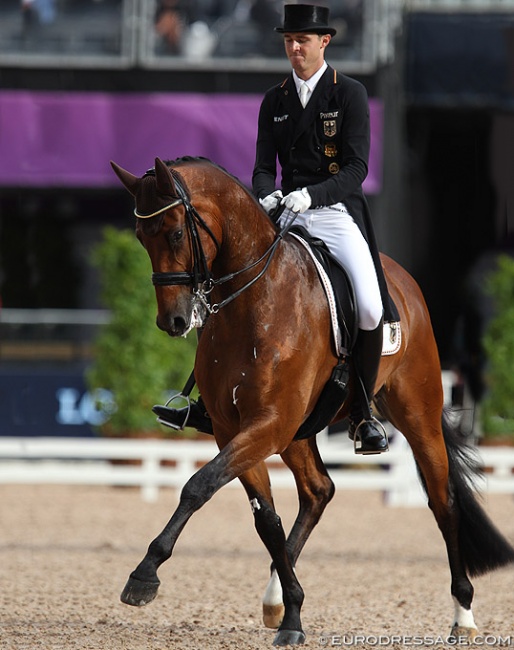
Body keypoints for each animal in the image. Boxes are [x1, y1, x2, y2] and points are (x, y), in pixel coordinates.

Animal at [110, 156, 510, 644]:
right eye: (140, 237)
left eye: (173, 233)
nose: (174, 321)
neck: (255, 300)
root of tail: (401, 279)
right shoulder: (236, 428)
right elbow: (265, 519)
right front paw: (293, 612)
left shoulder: (268, 423)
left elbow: (198, 486)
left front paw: (144, 575)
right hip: (298, 432)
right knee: (319, 490)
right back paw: (275, 599)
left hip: (417, 415)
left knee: (443, 502)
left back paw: (463, 616)